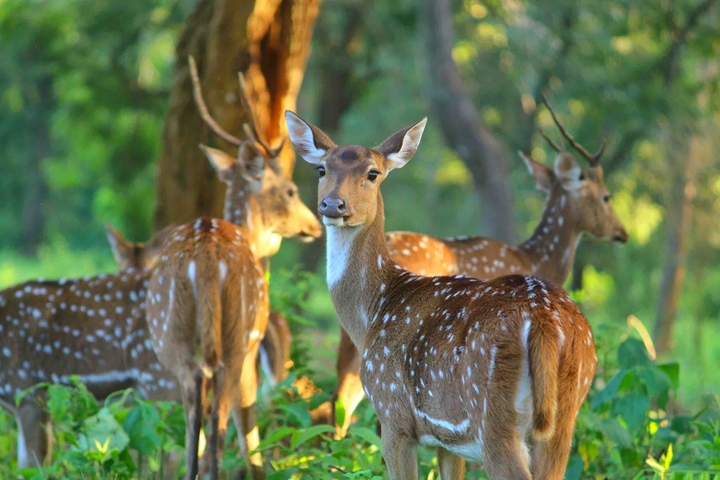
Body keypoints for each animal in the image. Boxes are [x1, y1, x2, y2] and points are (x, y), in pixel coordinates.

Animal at [144, 58, 321, 480]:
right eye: (291, 190)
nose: (315, 225)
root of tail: (206, 258)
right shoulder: (252, 351)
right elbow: (250, 433)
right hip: (238, 337)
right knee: (223, 418)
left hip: (169, 333)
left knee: (194, 403)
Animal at [287, 110, 597, 479]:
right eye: (322, 169)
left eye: (372, 173)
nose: (333, 204)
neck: (374, 310)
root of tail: (545, 320)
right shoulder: (447, 441)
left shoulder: (392, 414)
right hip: (565, 415)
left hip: (495, 417)